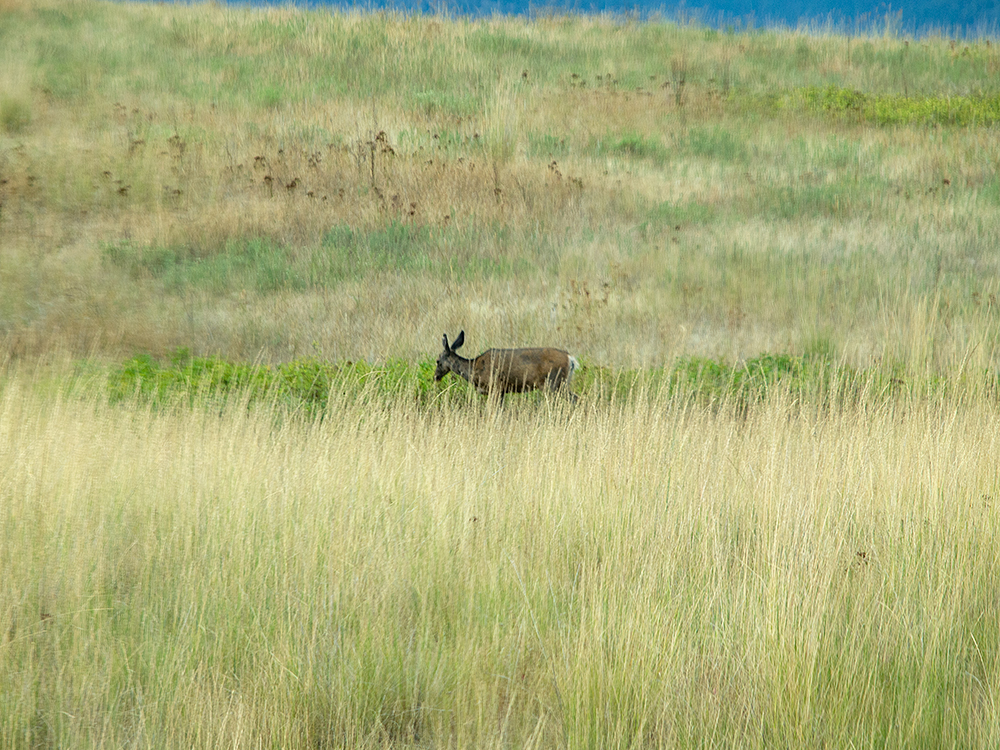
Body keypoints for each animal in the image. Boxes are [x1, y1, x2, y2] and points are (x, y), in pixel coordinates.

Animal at [436, 332, 580, 406]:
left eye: (437, 361)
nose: (435, 376)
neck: (474, 369)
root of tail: (570, 359)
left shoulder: (495, 386)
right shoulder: (502, 391)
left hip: (553, 383)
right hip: (560, 384)